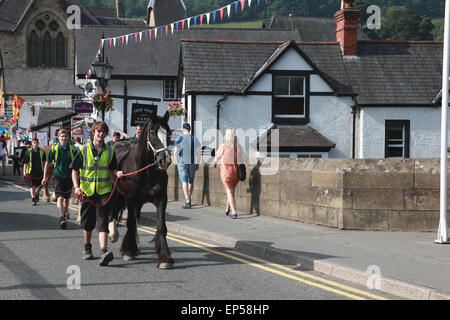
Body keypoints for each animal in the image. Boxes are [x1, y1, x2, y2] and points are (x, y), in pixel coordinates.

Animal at [108, 111, 173, 268]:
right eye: (153, 133)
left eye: (169, 133)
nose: (165, 160)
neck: (146, 172)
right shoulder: (130, 200)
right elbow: (130, 223)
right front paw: (128, 252)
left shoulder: (161, 199)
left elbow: (161, 227)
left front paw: (164, 258)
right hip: (114, 192)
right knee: (112, 211)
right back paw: (113, 235)